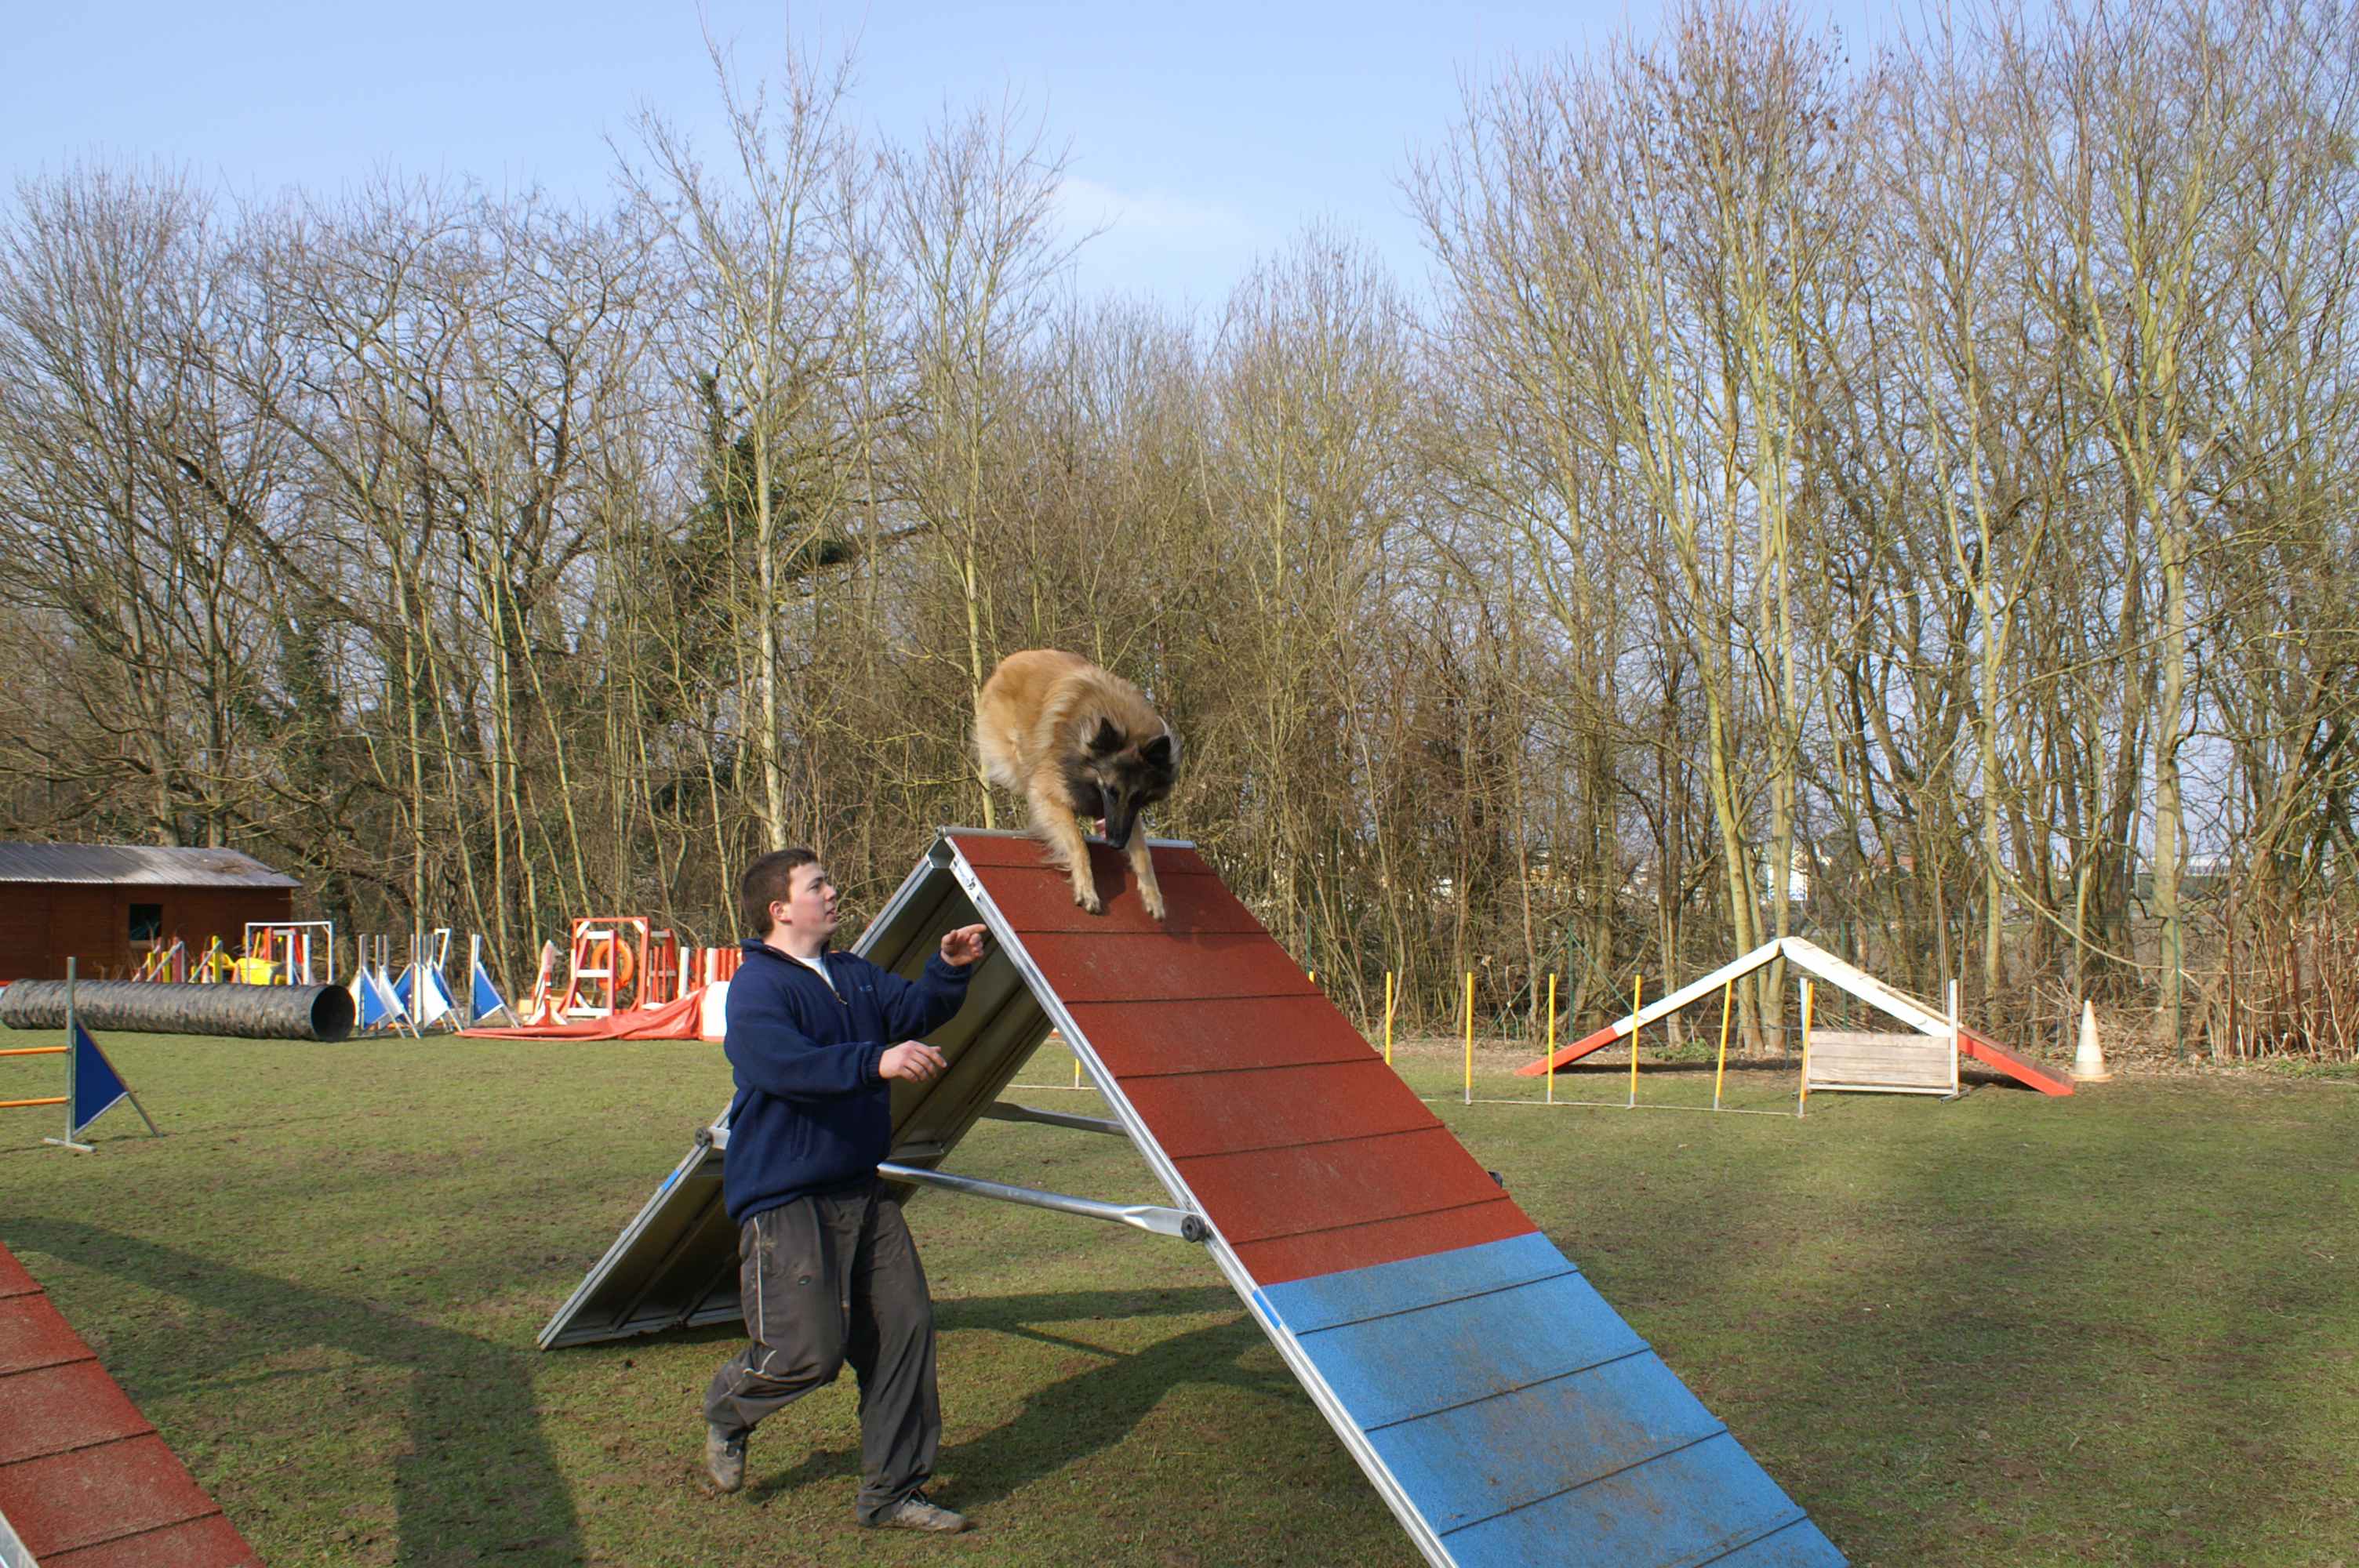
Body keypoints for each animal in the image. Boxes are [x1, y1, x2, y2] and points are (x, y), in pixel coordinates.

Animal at [975, 649, 1178, 921]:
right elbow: (1078, 843)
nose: (1115, 844)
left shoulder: (1126, 815)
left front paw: (1153, 897)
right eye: (1110, 791)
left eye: (1138, 796)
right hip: (1012, 754)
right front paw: (1087, 891)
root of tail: (1013, 660)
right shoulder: (1049, 795)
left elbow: (1143, 853)